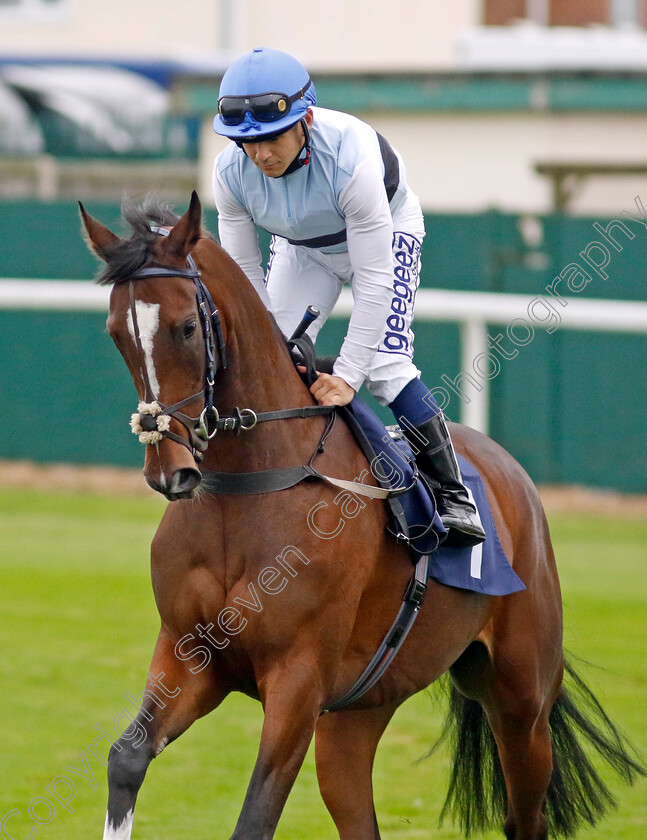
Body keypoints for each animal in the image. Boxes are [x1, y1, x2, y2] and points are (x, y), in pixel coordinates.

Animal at [79, 192, 644, 840]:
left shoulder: (298, 681)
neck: (249, 490)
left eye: (187, 327)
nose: (168, 469)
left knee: (525, 814)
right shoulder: (190, 654)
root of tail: (511, 472)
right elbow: (127, 757)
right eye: (116, 333)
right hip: (357, 714)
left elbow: (255, 816)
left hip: (521, 699)